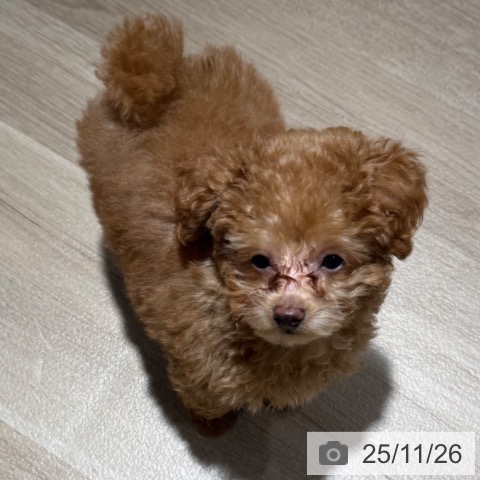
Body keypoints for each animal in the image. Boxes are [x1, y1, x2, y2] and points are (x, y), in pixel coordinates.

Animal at [77, 15, 427, 435]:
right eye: (260, 260)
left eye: (332, 261)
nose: (288, 315)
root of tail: (159, 82)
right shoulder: (198, 369)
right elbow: (206, 398)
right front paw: (212, 426)